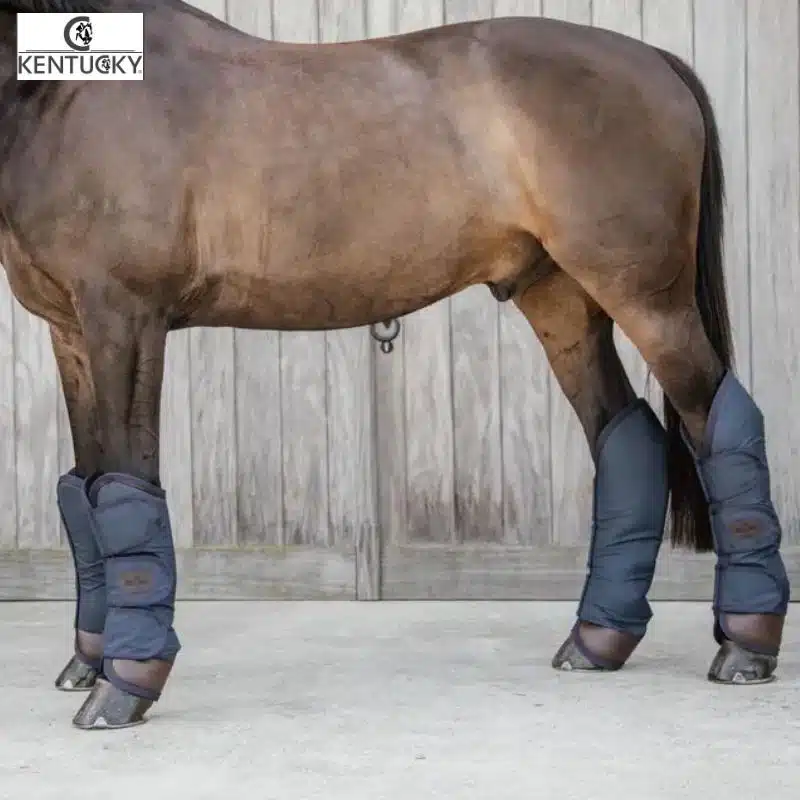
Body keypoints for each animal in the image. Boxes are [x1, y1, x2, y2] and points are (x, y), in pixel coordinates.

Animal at [0, 0, 790, 730]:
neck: (65, 97)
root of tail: (657, 61)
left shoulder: (125, 319)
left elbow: (126, 484)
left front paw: (124, 683)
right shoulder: (71, 330)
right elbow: (88, 488)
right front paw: (89, 661)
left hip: (648, 300)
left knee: (715, 415)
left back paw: (745, 647)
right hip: (561, 299)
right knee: (624, 434)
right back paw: (597, 641)